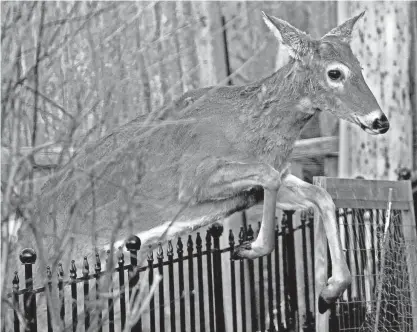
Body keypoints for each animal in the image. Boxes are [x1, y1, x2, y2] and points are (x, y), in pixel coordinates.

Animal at [22, 10, 386, 312]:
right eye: (335, 73)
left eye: (362, 68)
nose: (380, 120)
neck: (253, 127)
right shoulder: (195, 178)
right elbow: (270, 178)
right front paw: (250, 248)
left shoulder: (259, 185)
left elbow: (321, 195)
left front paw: (331, 290)